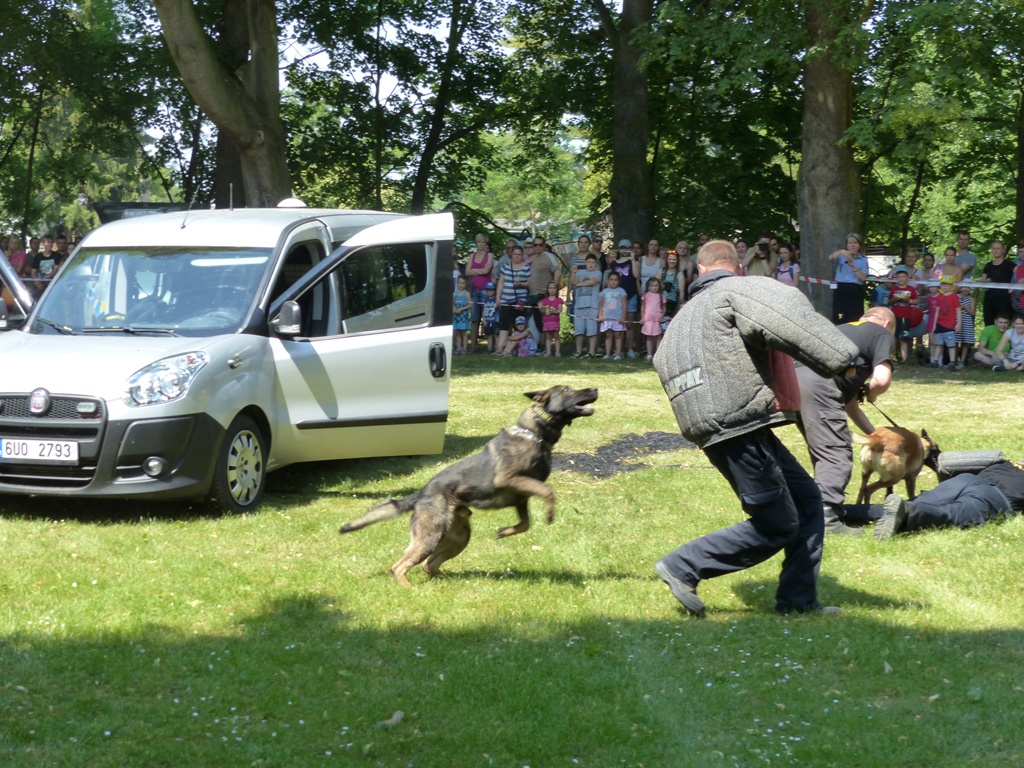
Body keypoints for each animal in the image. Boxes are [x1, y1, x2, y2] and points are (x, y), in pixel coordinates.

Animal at [342, 387, 598, 585]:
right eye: (567, 390)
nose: (595, 389)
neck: (533, 434)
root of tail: (422, 493)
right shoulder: (510, 479)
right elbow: (548, 491)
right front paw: (550, 514)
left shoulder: (521, 497)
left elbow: (525, 524)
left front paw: (504, 532)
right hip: (430, 536)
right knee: (400, 566)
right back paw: (410, 589)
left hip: (459, 538)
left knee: (428, 565)